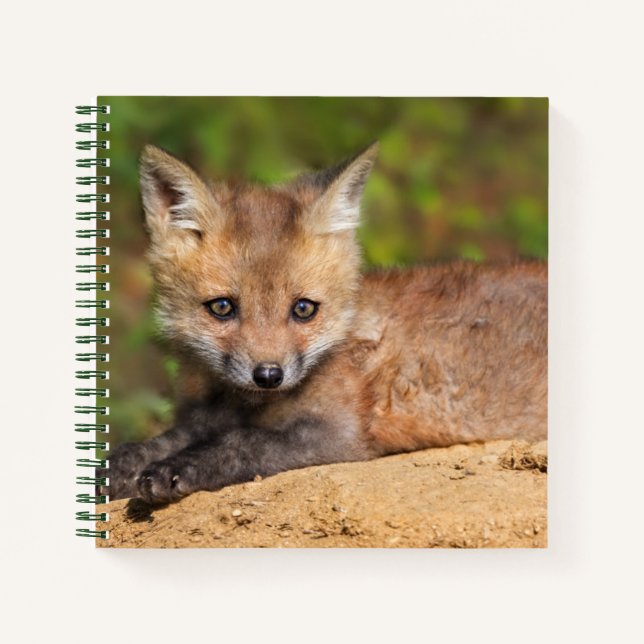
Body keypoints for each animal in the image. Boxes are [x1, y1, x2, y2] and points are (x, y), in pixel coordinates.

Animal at [101, 142, 547, 505]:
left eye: (303, 309)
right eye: (223, 307)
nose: (268, 375)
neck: (241, 403)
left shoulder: (340, 436)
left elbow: (242, 443)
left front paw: (175, 469)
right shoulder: (199, 418)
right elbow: (155, 443)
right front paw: (118, 466)